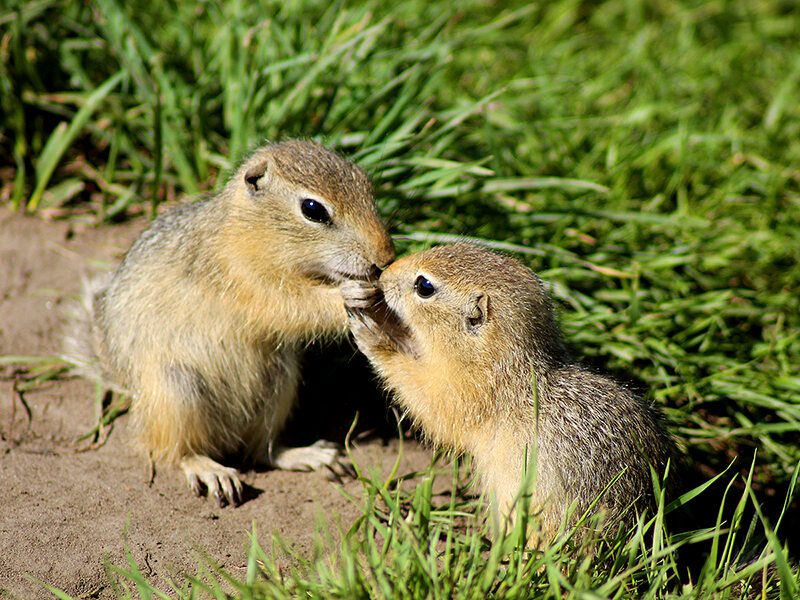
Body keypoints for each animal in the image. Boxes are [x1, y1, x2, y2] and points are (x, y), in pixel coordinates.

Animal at [64, 139, 396, 506]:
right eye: (313, 209)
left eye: (366, 184)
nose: (386, 257)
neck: (247, 231)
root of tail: (129, 385)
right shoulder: (244, 280)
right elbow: (292, 305)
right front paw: (350, 295)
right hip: (176, 390)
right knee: (170, 450)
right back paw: (209, 469)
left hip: (279, 386)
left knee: (261, 451)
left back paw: (307, 455)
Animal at [342, 243, 676, 544]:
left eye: (424, 286)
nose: (383, 275)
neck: (514, 366)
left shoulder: (465, 395)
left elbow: (425, 396)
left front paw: (372, 334)